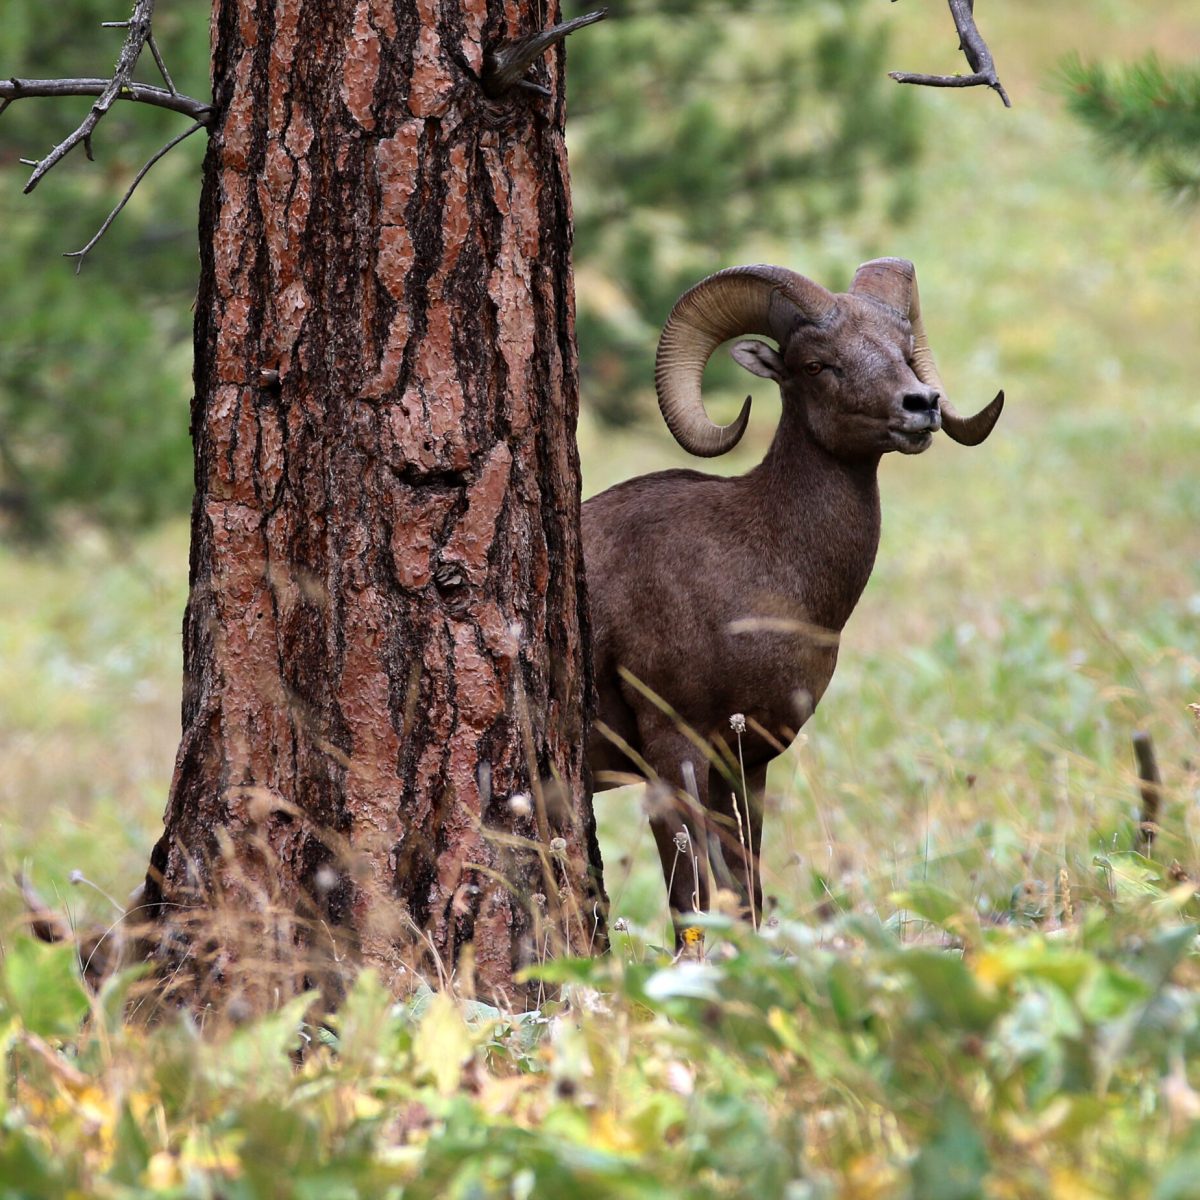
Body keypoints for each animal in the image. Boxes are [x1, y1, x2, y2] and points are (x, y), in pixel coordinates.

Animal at [581, 258, 1003, 938]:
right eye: (815, 364)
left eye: (903, 350)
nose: (921, 405)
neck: (765, 563)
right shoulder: (673, 753)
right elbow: (691, 901)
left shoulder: (746, 764)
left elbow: (745, 891)